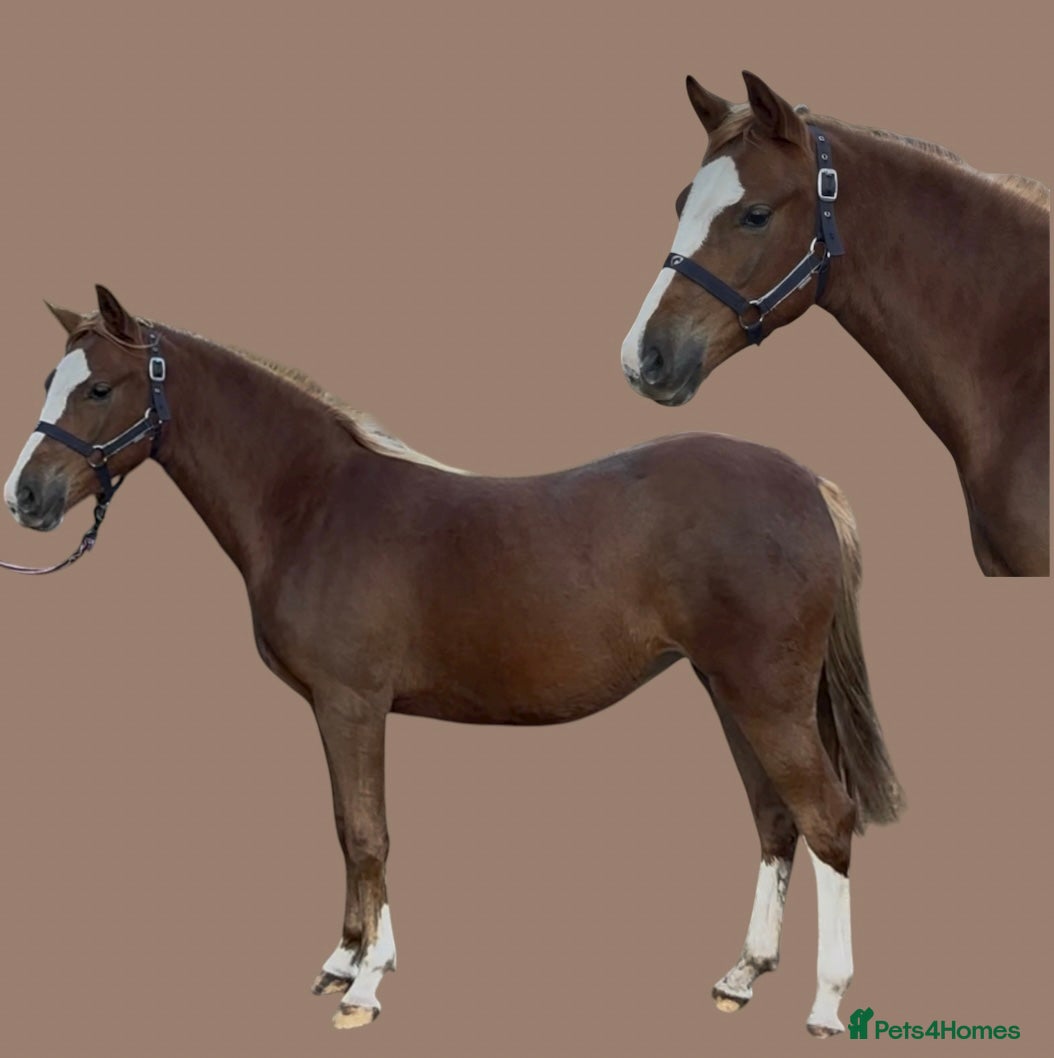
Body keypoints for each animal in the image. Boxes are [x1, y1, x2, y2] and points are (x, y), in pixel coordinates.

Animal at [4, 286, 903, 1036]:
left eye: (98, 389)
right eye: (50, 377)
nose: (24, 498)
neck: (315, 503)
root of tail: (807, 483)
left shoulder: (351, 702)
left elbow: (369, 834)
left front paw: (365, 987)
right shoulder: (339, 709)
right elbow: (348, 827)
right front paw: (350, 959)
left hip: (767, 696)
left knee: (827, 818)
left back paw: (825, 1004)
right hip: (727, 690)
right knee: (775, 818)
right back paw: (741, 976)